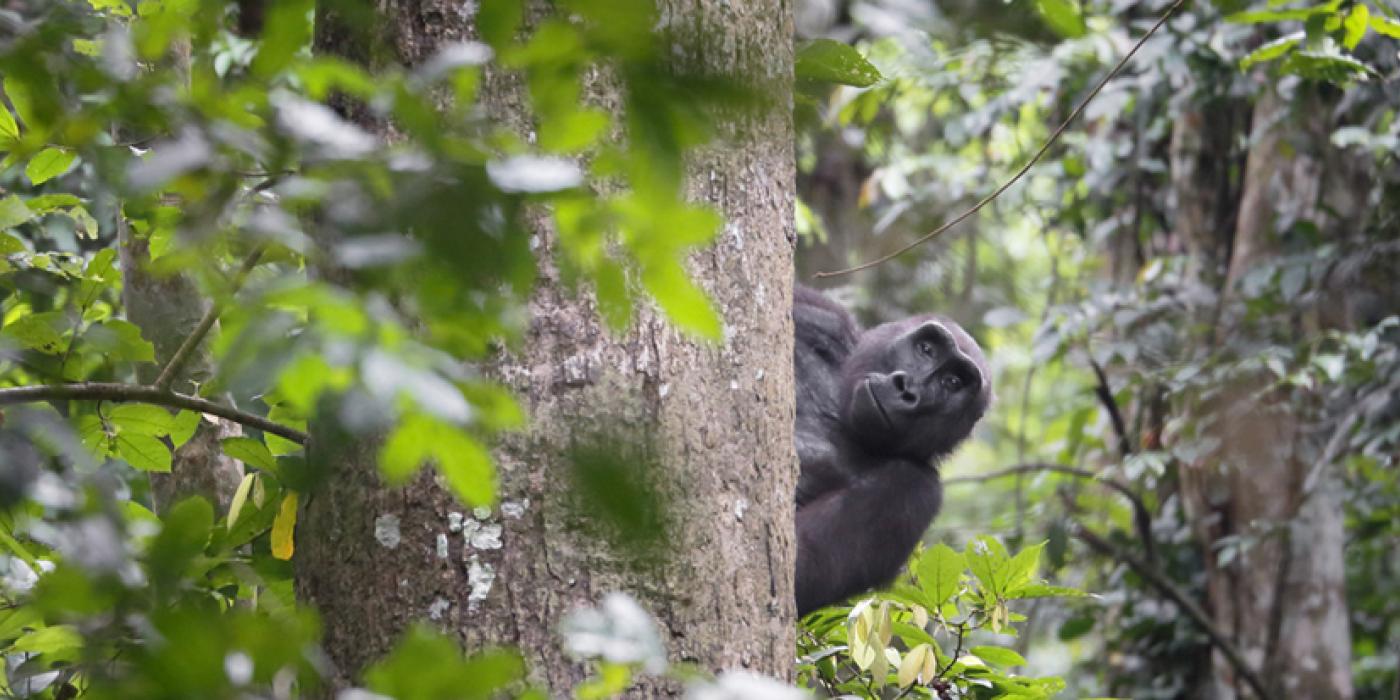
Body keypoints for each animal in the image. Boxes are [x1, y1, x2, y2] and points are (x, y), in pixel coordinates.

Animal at [795, 287, 991, 616]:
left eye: (952, 382)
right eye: (926, 349)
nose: (908, 388)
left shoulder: (917, 488)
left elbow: (801, 564)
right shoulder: (824, 318)